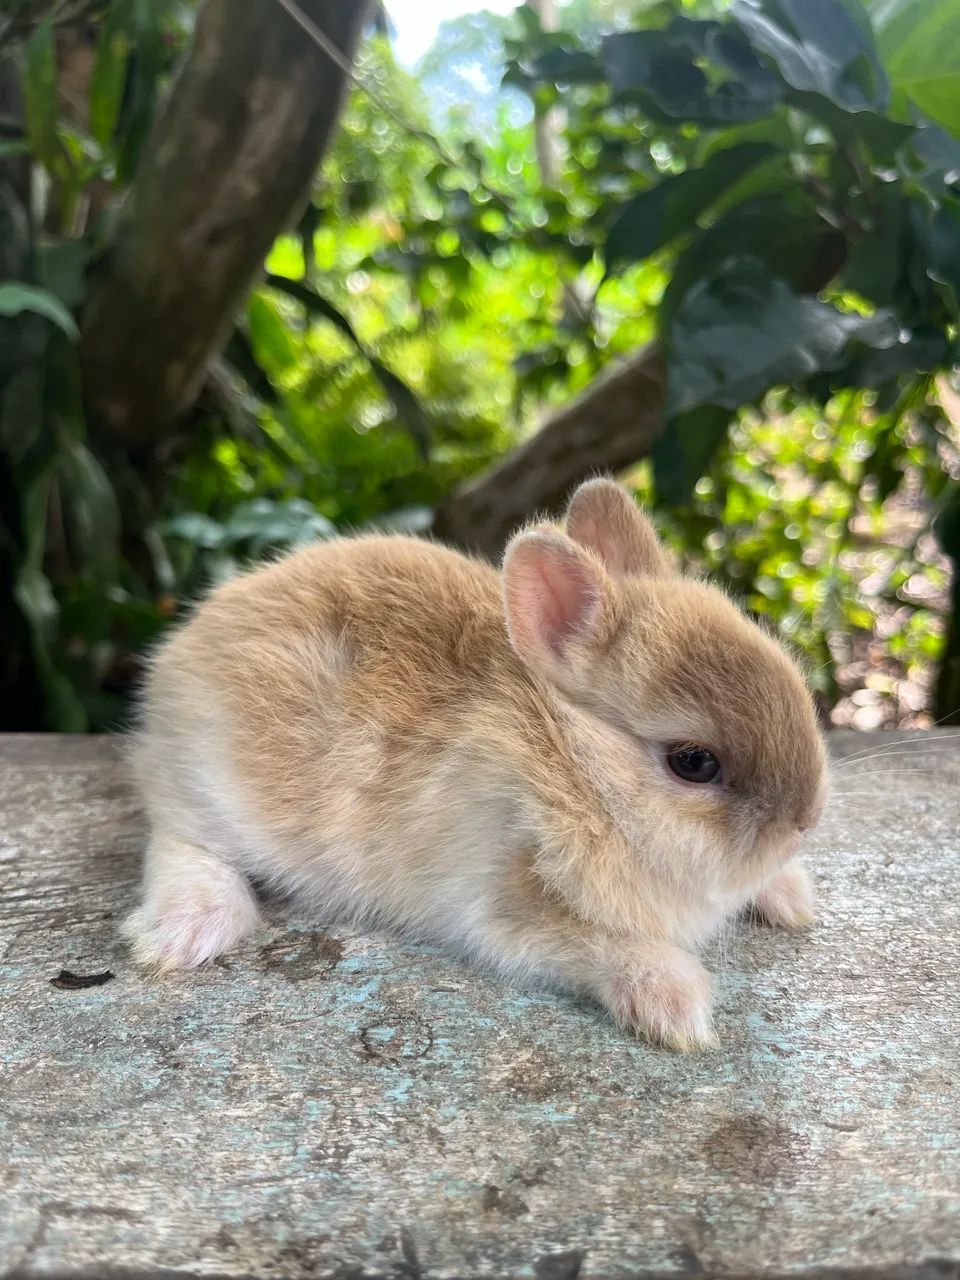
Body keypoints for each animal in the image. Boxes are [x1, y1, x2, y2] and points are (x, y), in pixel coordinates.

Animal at [124, 478, 827, 1050]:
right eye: (693, 762)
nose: (805, 821)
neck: (577, 765)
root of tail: (188, 641)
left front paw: (791, 898)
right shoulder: (502, 908)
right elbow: (604, 945)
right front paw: (678, 1008)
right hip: (210, 785)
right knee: (177, 842)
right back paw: (186, 934)